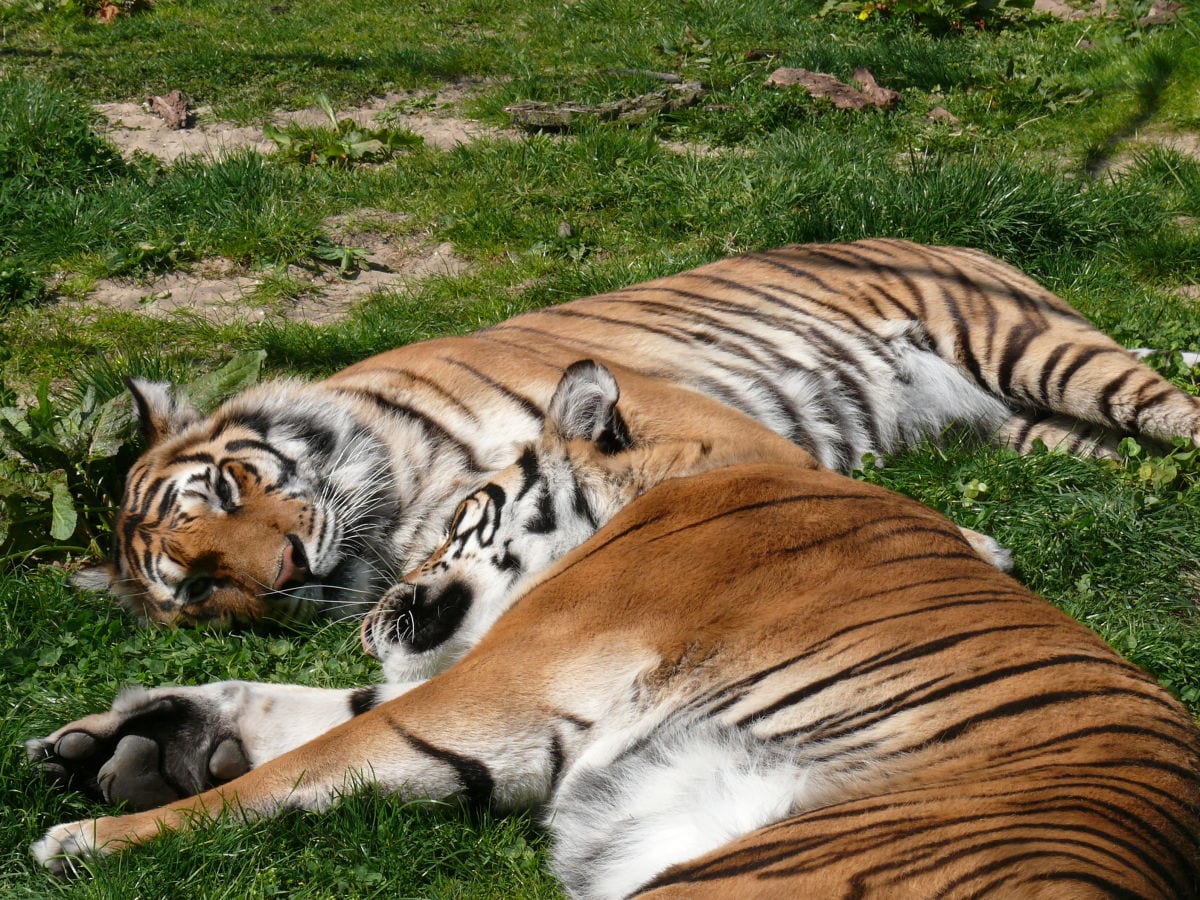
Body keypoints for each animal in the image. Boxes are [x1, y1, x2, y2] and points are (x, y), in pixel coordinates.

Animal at [32, 367, 1200, 897]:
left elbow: (311, 757)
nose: (367, 611)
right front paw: (130, 740)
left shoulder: (508, 680)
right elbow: (309, 713)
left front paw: (85, 837)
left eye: (456, 518)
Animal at [82, 240, 1200, 628]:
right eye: (196, 585)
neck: (397, 512)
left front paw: (972, 550)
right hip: (1031, 431)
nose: (280, 576)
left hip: (1036, 349)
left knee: (1174, 411)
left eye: (226, 489)